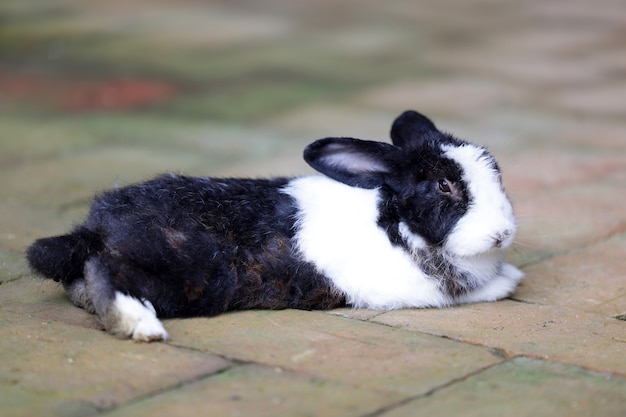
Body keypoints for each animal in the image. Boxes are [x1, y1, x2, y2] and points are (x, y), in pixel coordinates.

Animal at [25, 110, 520, 342]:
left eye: (495, 169)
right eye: (443, 186)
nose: (503, 234)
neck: (398, 223)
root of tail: (94, 228)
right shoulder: (406, 290)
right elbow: (475, 292)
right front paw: (510, 280)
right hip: (174, 271)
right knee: (105, 275)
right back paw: (140, 325)